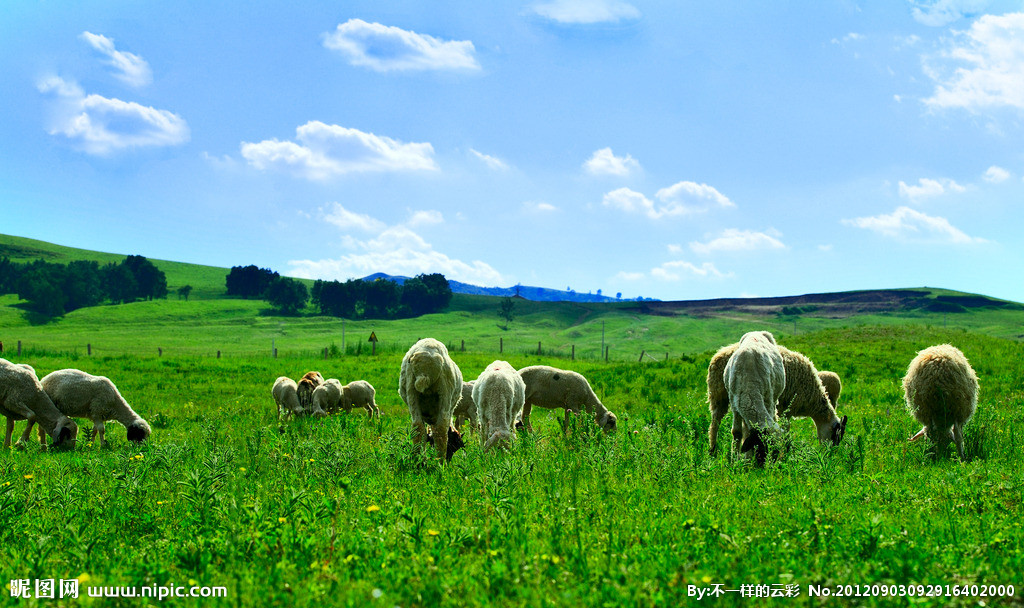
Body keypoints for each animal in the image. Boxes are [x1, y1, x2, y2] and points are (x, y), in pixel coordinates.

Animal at [708, 339, 851, 454]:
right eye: (836, 436)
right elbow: (786, 429)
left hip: (720, 396)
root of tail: (717, 355)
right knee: (715, 424)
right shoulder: (785, 408)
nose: (830, 454)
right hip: (719, 396)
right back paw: (713, 450)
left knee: (716, 422)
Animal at [724, 331, 786, 464]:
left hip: (774, 397)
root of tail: (757, 332)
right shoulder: (734, 402)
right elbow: (737, 432)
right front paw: (734, 460)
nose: (767, 467)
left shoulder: (768, 399)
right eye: (762, 445)